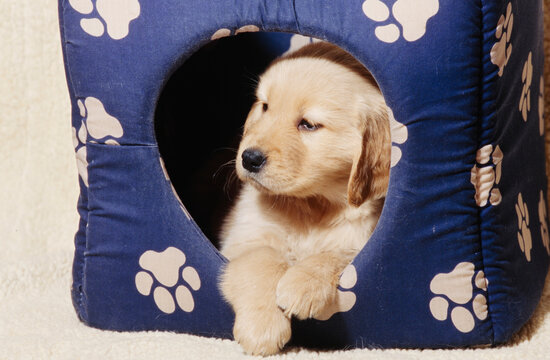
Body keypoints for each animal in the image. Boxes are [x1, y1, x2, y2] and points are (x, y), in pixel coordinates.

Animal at [220, 41, 392, 354]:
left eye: (308, 124)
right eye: (265, 106)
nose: (249, 158)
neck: (312, 205)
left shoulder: (360, 237)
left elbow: (335, 254)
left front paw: (302, 283)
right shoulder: (245, 238)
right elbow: (262, 262)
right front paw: (262, 326)